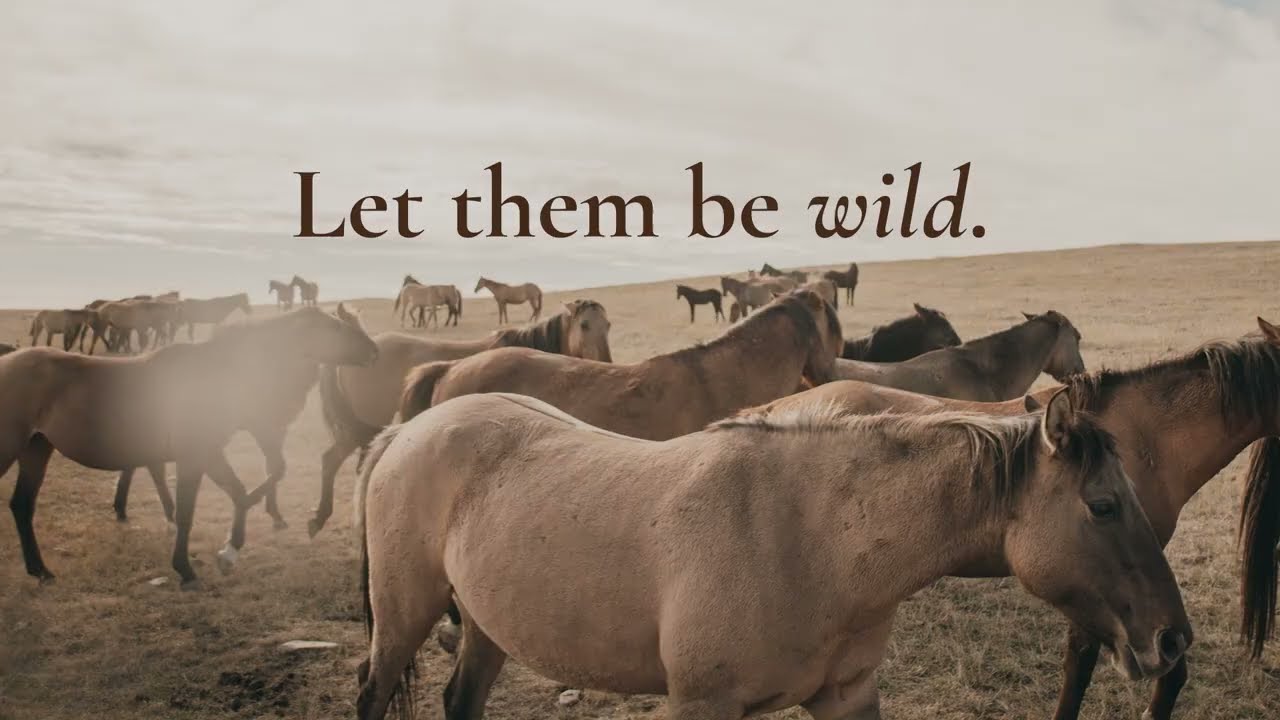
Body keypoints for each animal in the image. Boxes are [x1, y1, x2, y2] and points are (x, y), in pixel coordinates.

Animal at [0, 306, 377, 588]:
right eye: (335, 328)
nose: (374, 351)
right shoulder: (194, 457)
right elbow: (188, 511)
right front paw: (187, 568)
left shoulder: (210, 452)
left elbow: (240, 491)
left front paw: (230, 549)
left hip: (37, 448)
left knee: (22, 505)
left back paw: (41, 570)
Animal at [353, 388, 1191, 720]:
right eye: (1103, 505)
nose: (1174, 638)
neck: (810, 539)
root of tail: (408, 430)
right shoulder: (702, 705)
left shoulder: (848, 697)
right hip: (403, 617)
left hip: (488, 627)